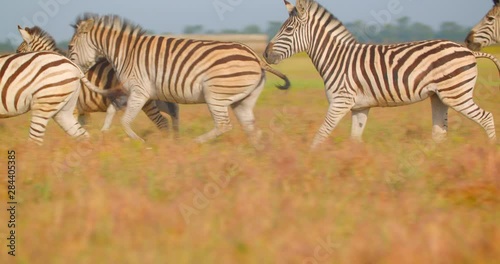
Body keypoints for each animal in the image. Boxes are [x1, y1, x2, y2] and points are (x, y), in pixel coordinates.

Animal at [16, 25, 181, 133]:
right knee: (172, 112)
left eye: (18, 51)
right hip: (155, 97)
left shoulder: (74, 108)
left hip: (146, 100)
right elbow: (82, 128)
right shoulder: (82, 111)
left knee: (162, 121)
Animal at [264, 0, 498, 148]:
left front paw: (312, 159)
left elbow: (321, 134)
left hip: (456, 94)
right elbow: (354, 140)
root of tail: (470, 51)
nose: (265, 54)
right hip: (440, 97)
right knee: (440, 133)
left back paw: (490, 151)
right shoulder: (360, 107)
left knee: (486, 117)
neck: (337, 58)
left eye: (288, 30)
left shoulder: (341, 101)